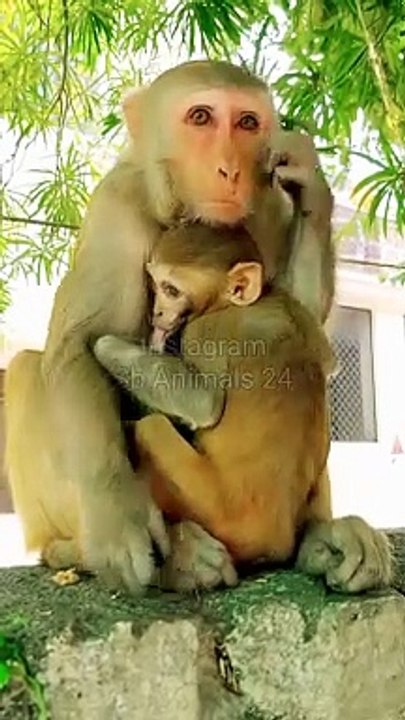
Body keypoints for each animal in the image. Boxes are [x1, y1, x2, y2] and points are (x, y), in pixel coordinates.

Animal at [4, 60, 337, 594]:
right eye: (200, 117)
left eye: (247, 122)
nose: (231, 168)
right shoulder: (115, 208)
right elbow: (75, 346)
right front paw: (117, 521)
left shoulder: (268, 204)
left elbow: (309, 331)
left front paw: (312, 186)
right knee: (28, 367)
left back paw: (333, 542)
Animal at [94, 222, 392, 593]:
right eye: (156, 286)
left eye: (170, 289)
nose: (157, 313)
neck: (251, 302)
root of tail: (275, 539)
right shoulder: (295, 309)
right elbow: (330, 364)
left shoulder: (205, 330)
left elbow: (200, 403)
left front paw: (104, 343)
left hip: (215, 511)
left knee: (152, 427)